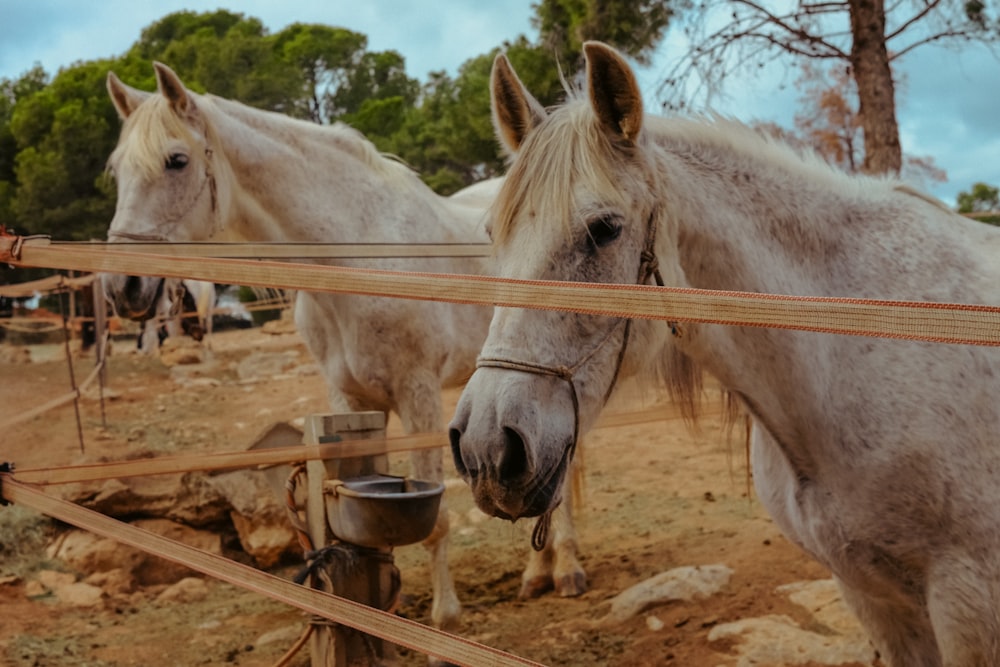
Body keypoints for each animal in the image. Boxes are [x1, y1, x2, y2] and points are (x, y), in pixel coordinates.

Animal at [99, 61, 584, 632]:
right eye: (117, 171)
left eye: (176, 161)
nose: (123, 288)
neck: (356, 261)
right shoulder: (349, 399)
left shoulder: (418, 397)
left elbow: (437, 520)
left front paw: (444, 617)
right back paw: (537, 574)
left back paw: (568, 571)